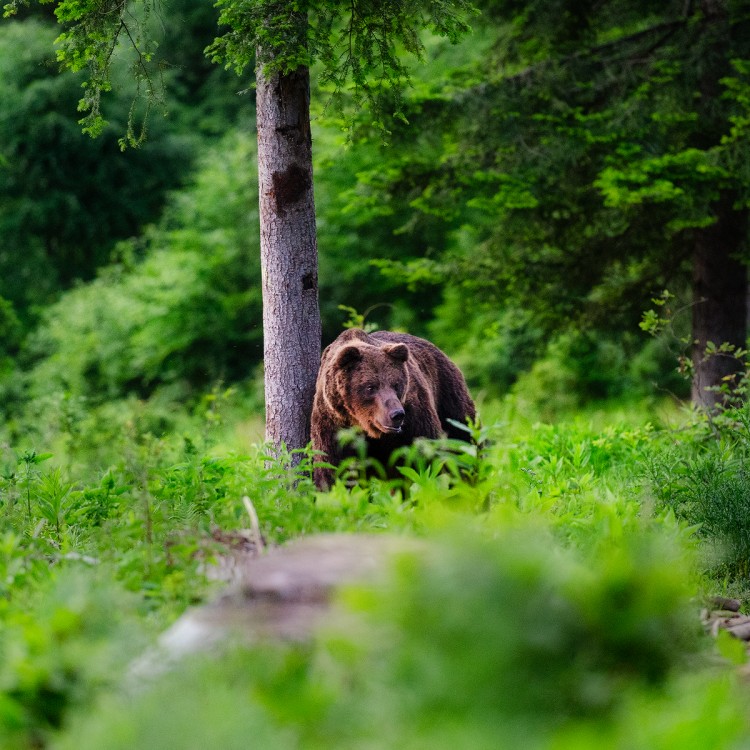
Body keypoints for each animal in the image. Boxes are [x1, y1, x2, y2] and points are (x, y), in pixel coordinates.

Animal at [310, 330, 476, 494]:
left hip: (448, 398)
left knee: (463, 443)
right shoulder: (333, 426)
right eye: (370, 387)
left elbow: (425, 460)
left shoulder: (412, 422)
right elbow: (335, 473)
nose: (397, 415)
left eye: (396, 385)